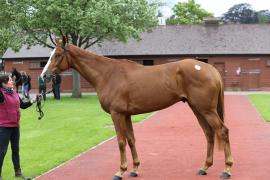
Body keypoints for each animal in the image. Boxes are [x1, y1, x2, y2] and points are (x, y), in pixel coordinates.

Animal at [40, 37, 232, 179]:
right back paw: (204, 167)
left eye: (58, 54)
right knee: (209, 133)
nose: (44, 75)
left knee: (222, 131)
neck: (108, 74)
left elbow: (121, 141)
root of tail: (210, 68)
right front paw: (134, 169)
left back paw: (227, 170)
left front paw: (120, 171)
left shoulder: (117, 114)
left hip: (206, 109)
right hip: (197, 108)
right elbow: (131, 140)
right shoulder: (126, 115)